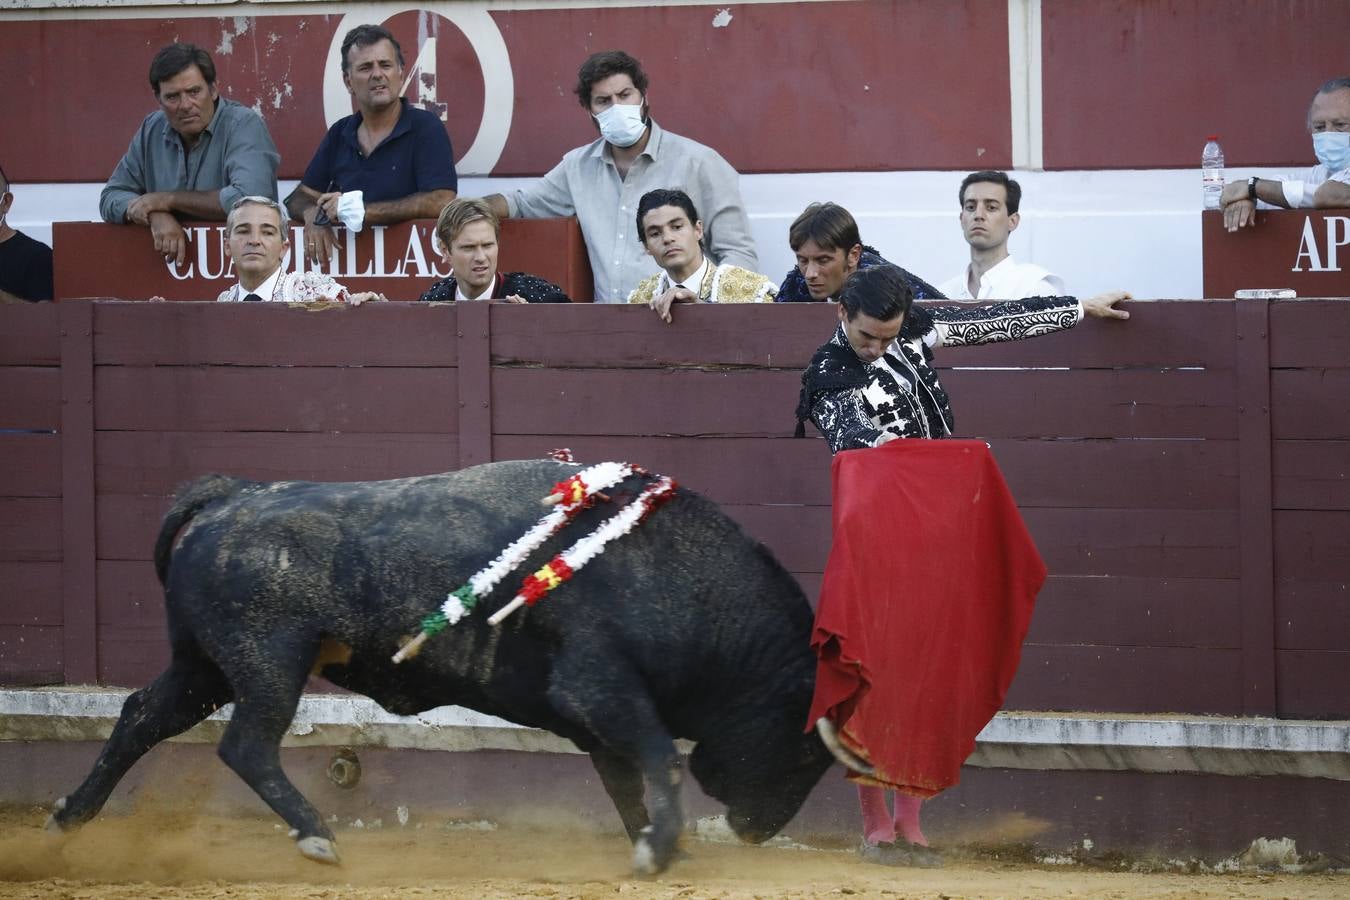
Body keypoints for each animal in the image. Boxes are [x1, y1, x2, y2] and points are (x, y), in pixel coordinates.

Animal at [47, 461, 837, 868]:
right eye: (806, 751)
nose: (758, 831)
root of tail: (229, 496)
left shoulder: (595, 715)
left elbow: (624, 780)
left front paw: (653, 842)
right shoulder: (600, 686)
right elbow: (658, 758)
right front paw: (661, 849)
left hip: (203, 666)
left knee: (141, 716)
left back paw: (68, 819)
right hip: (267, 661)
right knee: (246, 744)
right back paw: (317, 837)